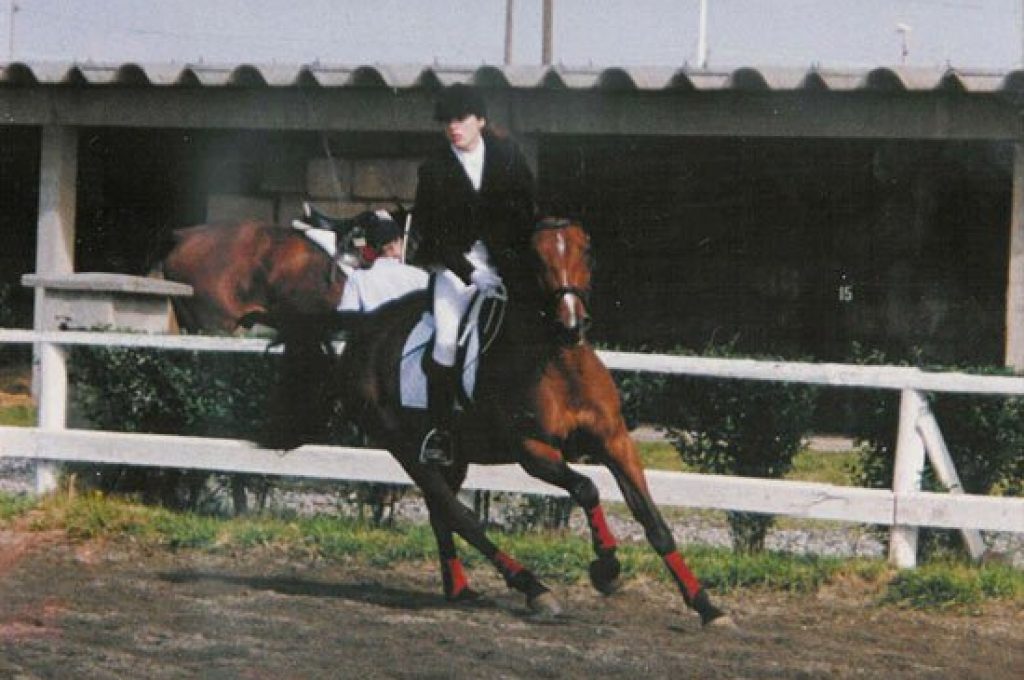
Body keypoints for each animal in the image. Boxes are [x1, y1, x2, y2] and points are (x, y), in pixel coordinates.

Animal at [263, 217, 732, 628]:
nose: (572, 324)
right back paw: (533, 588)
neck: (558, 360)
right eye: (535, 258)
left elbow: (653, 522)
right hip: (403, 447)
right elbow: (586, 487)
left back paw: (461, 589)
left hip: (450, 456)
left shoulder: (615, 442)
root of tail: (361, 335)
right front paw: (606, 566)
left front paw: (706, 605)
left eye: (586, 250)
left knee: (441, 512)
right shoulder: (532, 450)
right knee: (462, 516)